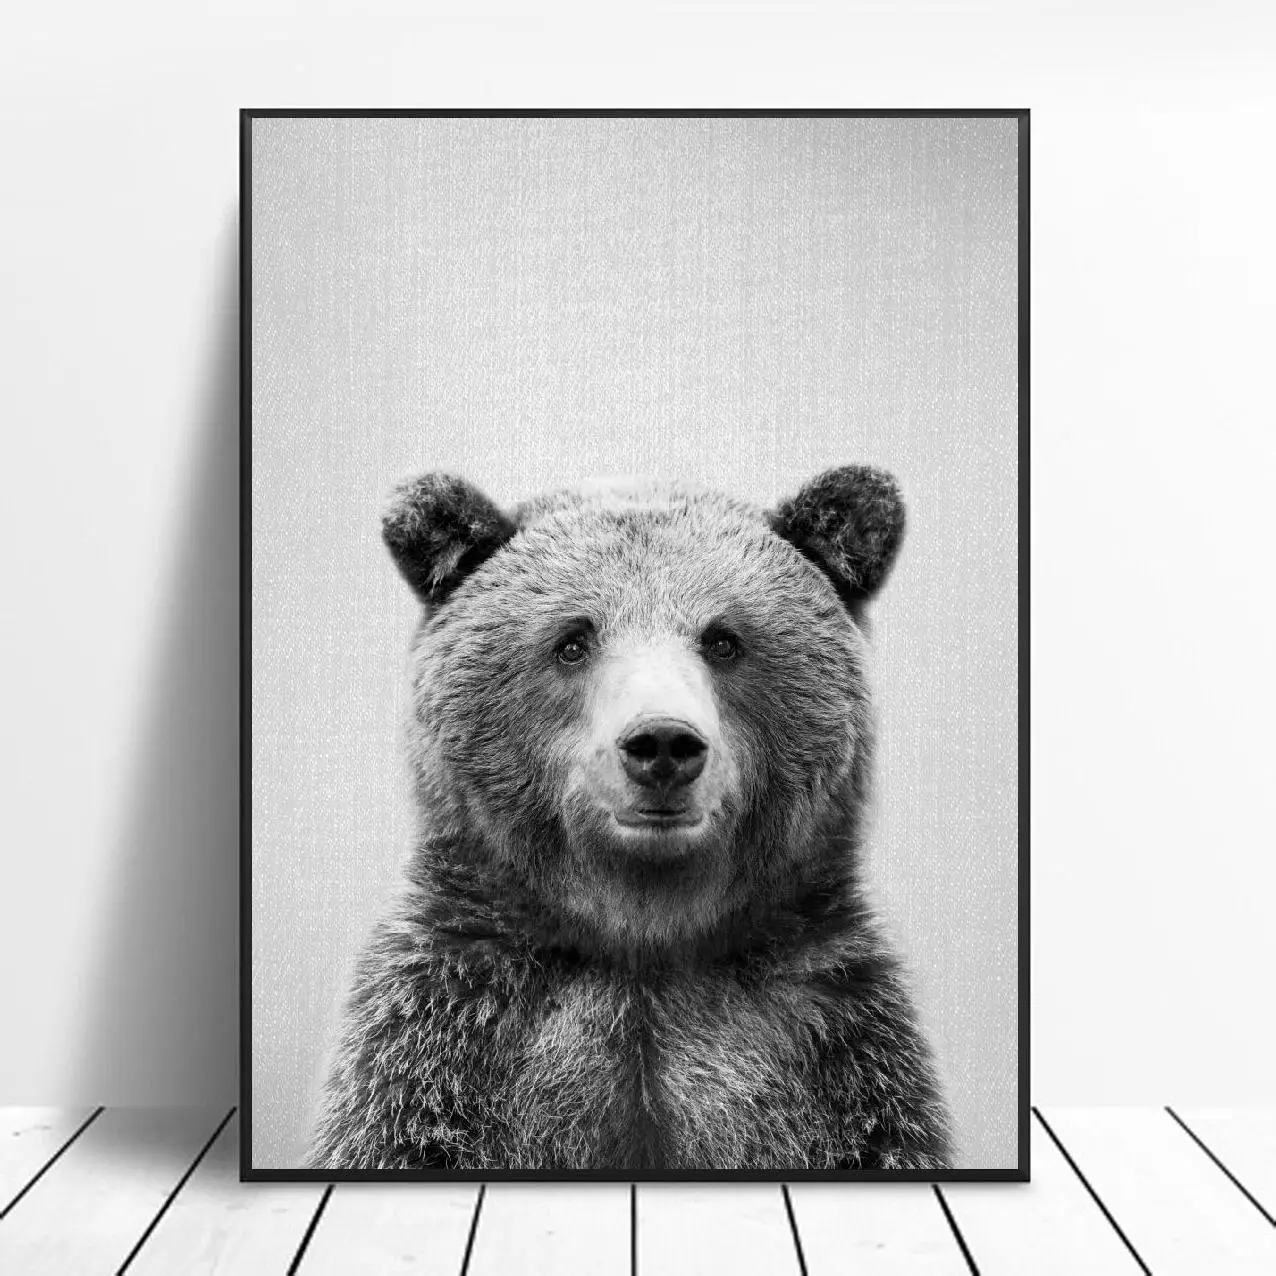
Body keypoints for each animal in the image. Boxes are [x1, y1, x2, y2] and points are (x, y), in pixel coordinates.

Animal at [308, 466, 952, 1172]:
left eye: (723, 639)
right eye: (572, 641)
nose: (663, 742)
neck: (644, 940)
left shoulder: (834, 1058)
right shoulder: (443, 1047)